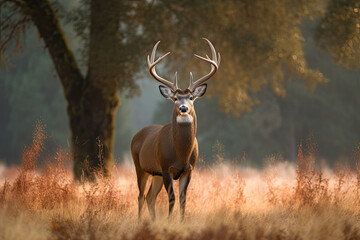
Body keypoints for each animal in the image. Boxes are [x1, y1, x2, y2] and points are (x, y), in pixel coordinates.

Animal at [129, 37, 219, 219]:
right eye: (176, 98)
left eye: (191, 97)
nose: (183, 108)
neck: (181, 154)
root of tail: (137, 135)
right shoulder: (166, 168)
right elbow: (172, 198)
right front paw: (170, 220)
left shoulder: (188, 170)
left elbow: (183, 199)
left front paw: (180, 221)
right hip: (140, 166)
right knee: (141, 196)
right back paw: (140, 221)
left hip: (155, 173)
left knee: (149, 197)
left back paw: (153, 221)